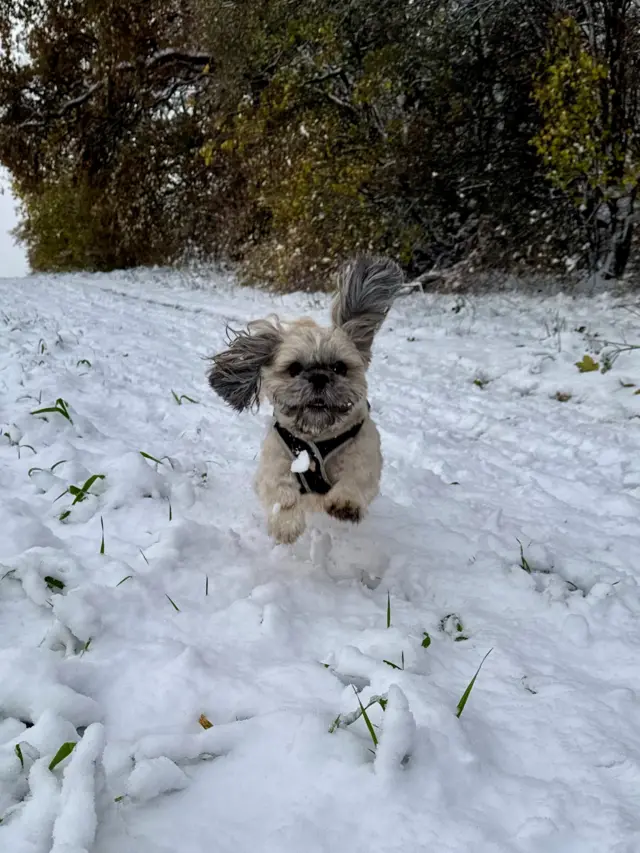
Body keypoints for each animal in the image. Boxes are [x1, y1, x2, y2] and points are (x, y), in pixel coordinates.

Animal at [208, 255, 402, 544]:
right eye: (294, 368)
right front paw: (286, 524)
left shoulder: (363, 453)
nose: (319, 377)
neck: (317, 437)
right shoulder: (276, 460)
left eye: (340, 367)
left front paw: (345, 503)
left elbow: (356, 478)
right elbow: (281, 491)